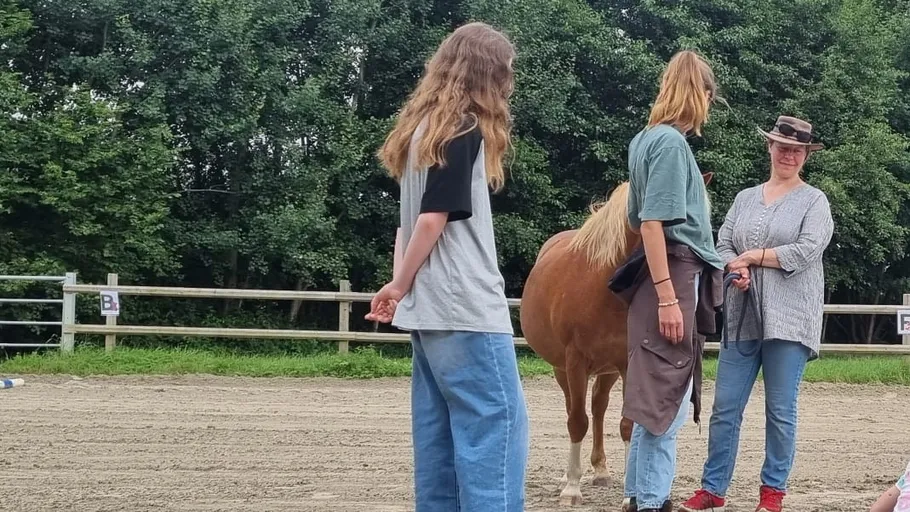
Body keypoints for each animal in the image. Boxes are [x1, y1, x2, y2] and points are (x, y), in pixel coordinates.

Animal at [519, 172, 713, 507]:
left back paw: (600, 470)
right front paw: (572, 488)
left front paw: (628, 495)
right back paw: (569, 476)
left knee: (598, 406)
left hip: (607, 369)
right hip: (562, 369)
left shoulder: (627, 363)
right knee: (575, 409)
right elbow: (577, 421)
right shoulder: (575, 361)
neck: (601, 287)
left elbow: (627, 424)